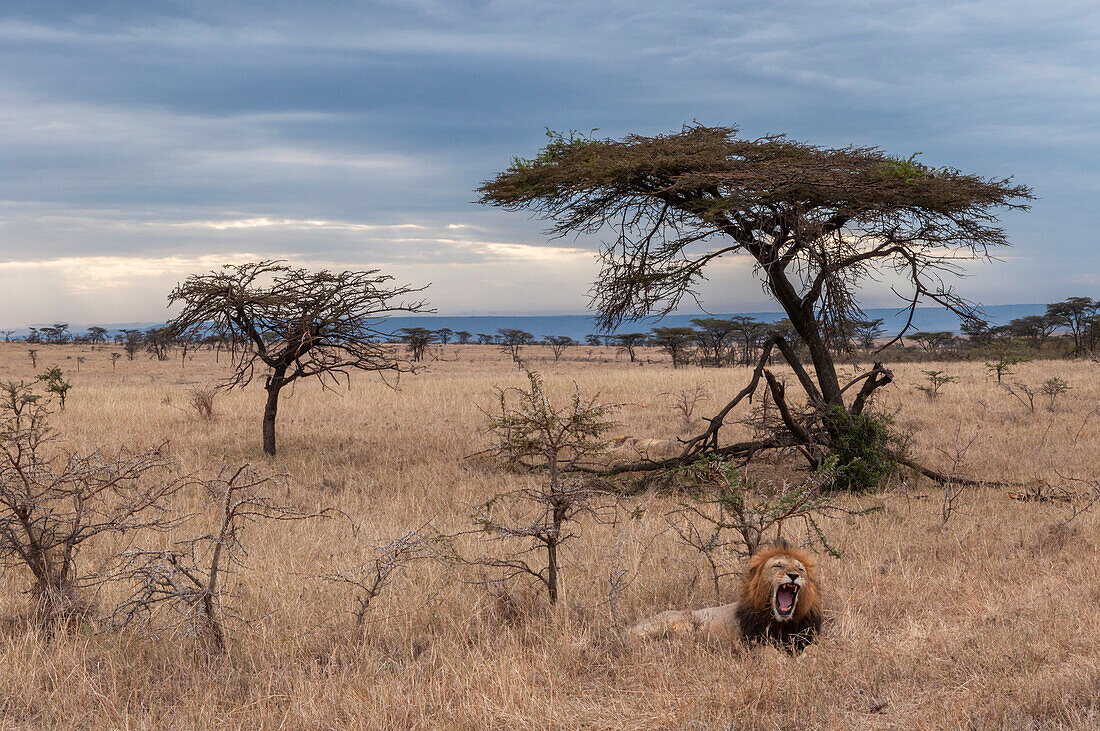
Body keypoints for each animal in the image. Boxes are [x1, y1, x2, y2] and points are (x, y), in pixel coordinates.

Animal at [633, 536, 822, 650]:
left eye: (800, 569)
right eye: (778, 565)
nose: (793, 575)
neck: (782, 622)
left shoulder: (806, 638)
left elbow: (814, 649)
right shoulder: (754, 642)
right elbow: (770, 653)